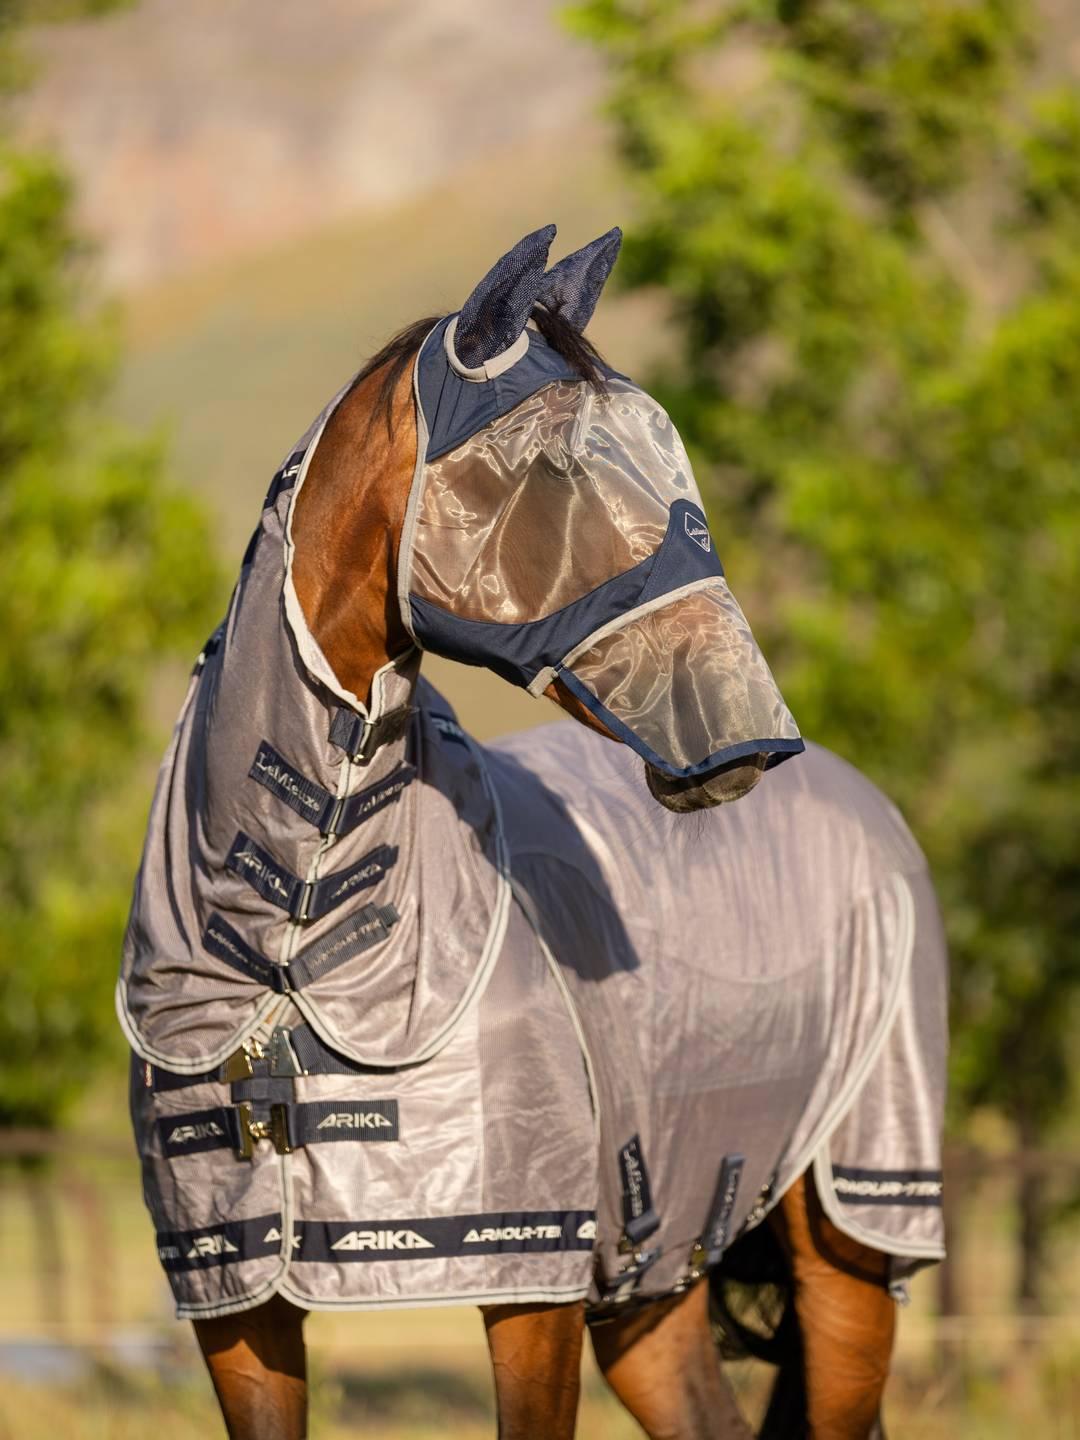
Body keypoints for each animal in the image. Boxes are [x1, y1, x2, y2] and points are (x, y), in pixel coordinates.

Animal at [118, 225, 947, 1439]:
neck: (289, 950)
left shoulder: (531, 1283)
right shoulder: (239, 1308)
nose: (749, 732)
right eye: (557, 468)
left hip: (855, 1235)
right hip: (654, 1285)